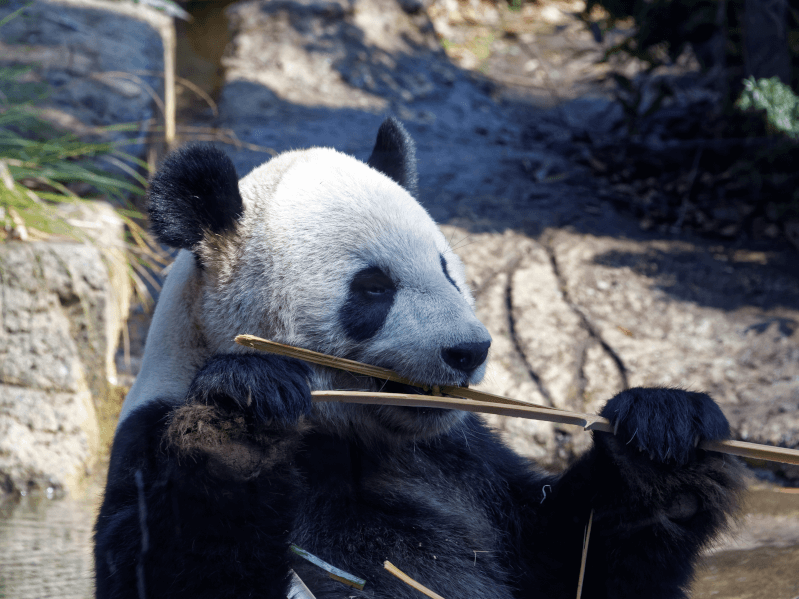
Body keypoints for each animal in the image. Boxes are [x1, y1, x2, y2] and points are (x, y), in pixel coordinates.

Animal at [97, 118, 748, 599]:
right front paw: (240, 420)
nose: (469, 350)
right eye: (372, 288)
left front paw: (664, 438)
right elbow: (180, 560)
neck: (353, 437)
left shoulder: (465, 464)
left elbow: (575, 562)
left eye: (446, 270)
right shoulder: (145, 443)